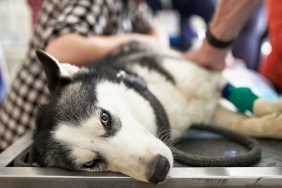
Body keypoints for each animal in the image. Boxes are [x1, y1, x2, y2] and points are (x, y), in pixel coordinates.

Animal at [34, 41, 282, 184]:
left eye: (105, 118)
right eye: (91, 164)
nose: (159, 170)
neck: (162, 103)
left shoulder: (211, 79)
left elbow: (255, 107)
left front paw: (275, 111)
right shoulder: (208, 114)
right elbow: (246, 123)